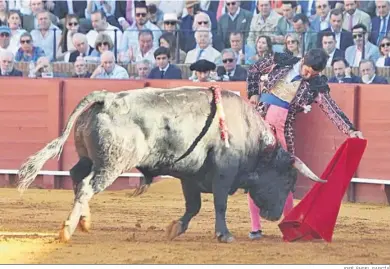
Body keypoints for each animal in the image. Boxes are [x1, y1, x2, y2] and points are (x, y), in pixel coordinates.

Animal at [16, 86, 324, 243]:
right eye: (288, 179)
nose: (275, 216)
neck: (250, 135)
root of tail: (107, 98)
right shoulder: (223, 175)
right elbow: (219, 204)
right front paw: (224, 235)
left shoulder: (190, 176)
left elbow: (194, 206)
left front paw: (176, 228)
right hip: (112, 164)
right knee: (87, 186)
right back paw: (68, 228)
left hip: (90, 157)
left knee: (77, 175)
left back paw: (84, 222)